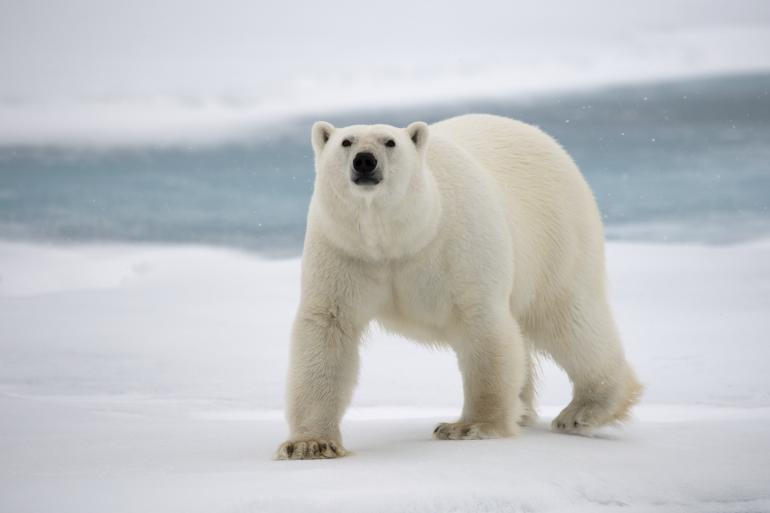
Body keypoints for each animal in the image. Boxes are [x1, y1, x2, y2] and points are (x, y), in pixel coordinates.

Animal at [272, 114, 640, 458]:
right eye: (346, 141)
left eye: (390, 142)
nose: (365, 160)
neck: (397, 238)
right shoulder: (344, 250)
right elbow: (328, 328)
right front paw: (309, 444)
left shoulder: (457, 243)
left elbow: (482, 324)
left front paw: (469, 426)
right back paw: (522, 409)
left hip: (557, 235)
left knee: (568, 321)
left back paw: (583, 410)